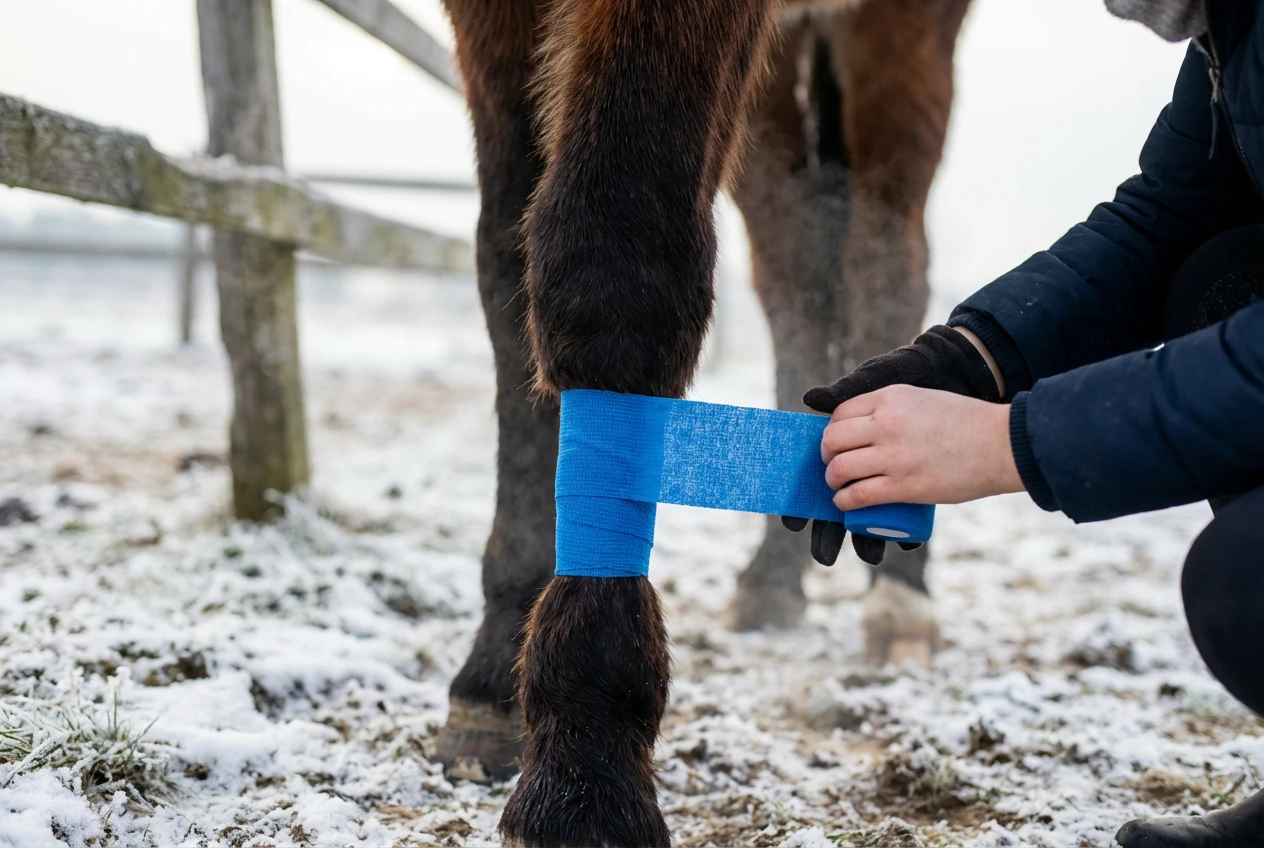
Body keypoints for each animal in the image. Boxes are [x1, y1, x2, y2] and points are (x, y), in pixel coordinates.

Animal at [433, 0, 971, 843]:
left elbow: (616, 260)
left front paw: (587, 768)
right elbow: (506, 260)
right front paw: (495, 671)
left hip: (905, 30)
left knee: (887, 256)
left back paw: (901, 596)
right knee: (798, 278)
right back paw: (773, 578)